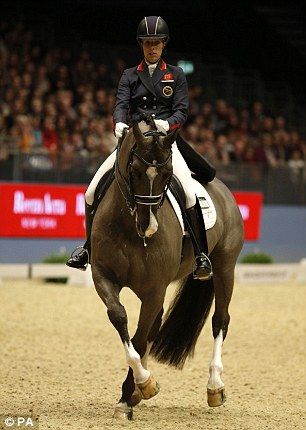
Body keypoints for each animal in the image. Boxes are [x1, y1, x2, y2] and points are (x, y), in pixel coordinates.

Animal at [91, 117, 244, 420]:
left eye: (168, 174)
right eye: (134, 170)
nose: (148, 226)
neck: (129, 228)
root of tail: (222, 189)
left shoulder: (154, 289)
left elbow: (139, 339)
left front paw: (138, 388)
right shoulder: (102, 275)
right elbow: (119, 317)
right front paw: (136, 390)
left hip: (225, 268)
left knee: (220, 320)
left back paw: (215, 387)